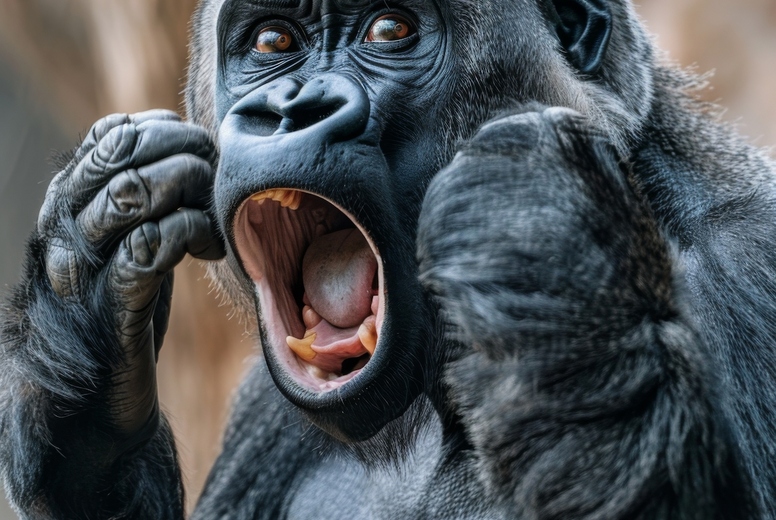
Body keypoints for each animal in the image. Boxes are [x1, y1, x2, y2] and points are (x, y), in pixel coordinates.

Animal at [1, 0, 774, 517]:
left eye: (390, 31)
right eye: (273, 40)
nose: (290, 108)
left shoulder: (747, 259)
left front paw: (540, 237)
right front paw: (83, 317)